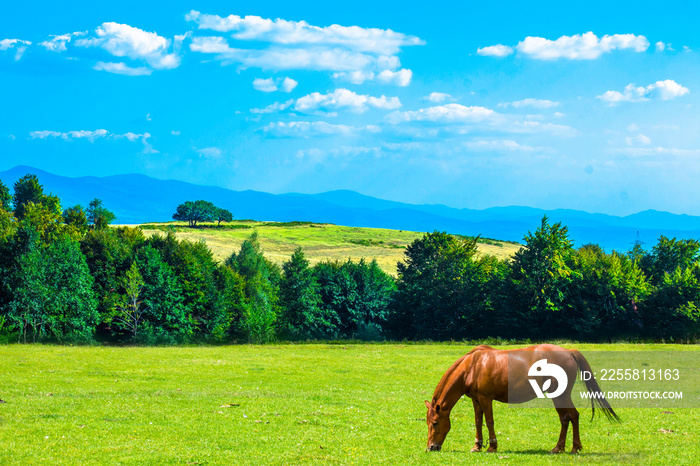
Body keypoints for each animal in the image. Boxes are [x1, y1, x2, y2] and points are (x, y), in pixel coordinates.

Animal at [424, 344, 620, 454]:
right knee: (565, 418)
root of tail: (568, 352)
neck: (471, 366)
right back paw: (559, 447)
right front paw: (477, 446)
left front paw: (492, 447)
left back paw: (574, 447)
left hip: (560, 395)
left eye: (435, 423)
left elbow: (489, 422)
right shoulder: (475, 400)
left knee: (572, 416)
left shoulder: (485, 398)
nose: (431, 447)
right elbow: (478, 422)